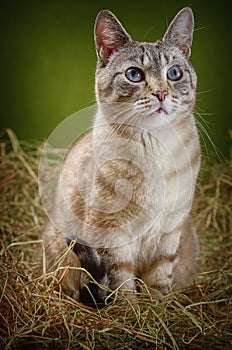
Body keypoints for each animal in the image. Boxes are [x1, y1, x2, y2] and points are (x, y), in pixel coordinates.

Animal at [39, 6, 200, 306]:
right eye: (134, 75)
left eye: (174, 73)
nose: (161, 93)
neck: (155, 147)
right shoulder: (112, 233)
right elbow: (121, 282)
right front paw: (131, 313)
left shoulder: (170, 231)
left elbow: (159, 279)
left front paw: (156, 312)